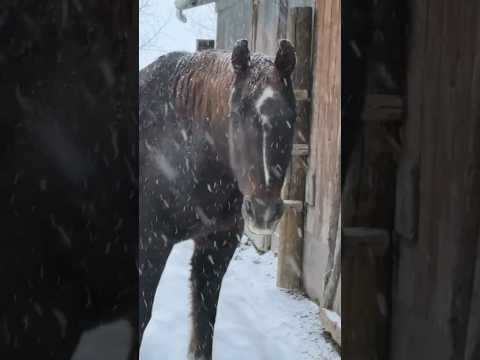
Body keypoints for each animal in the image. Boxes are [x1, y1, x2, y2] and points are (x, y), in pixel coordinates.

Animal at [138, 38, 296, 358]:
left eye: (290, 117)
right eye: (238, 114)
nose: (263, 211)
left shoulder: (217, 245)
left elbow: (204, 324)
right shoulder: (150, 244)